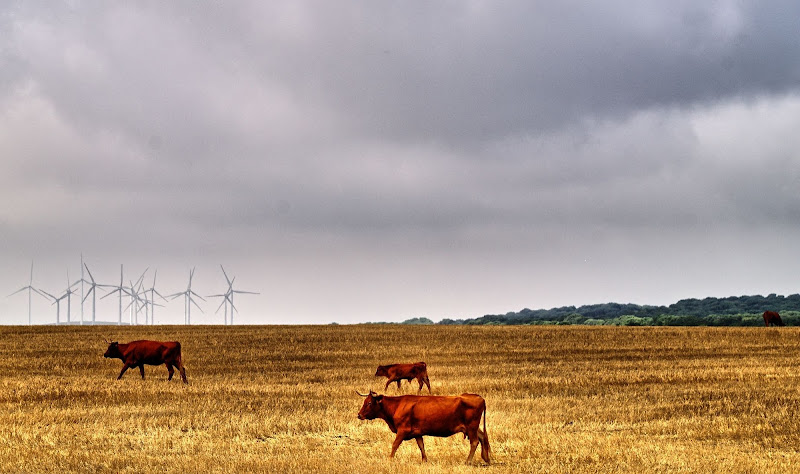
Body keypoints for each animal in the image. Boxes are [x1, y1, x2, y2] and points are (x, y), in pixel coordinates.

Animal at [356, 390, 488, 464]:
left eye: (369, 403)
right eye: (364, 402)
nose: (359, 415)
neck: (397, 405)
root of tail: (479, 397)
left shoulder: (402, 430)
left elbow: (394, 445)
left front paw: (390, 459)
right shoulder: (417, 433)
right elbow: (421, 446)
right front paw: (424, 460)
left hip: (471, 427)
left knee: (475, 442)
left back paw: (468, 461)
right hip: (473, 428)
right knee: (483, 437)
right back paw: (487, 459)